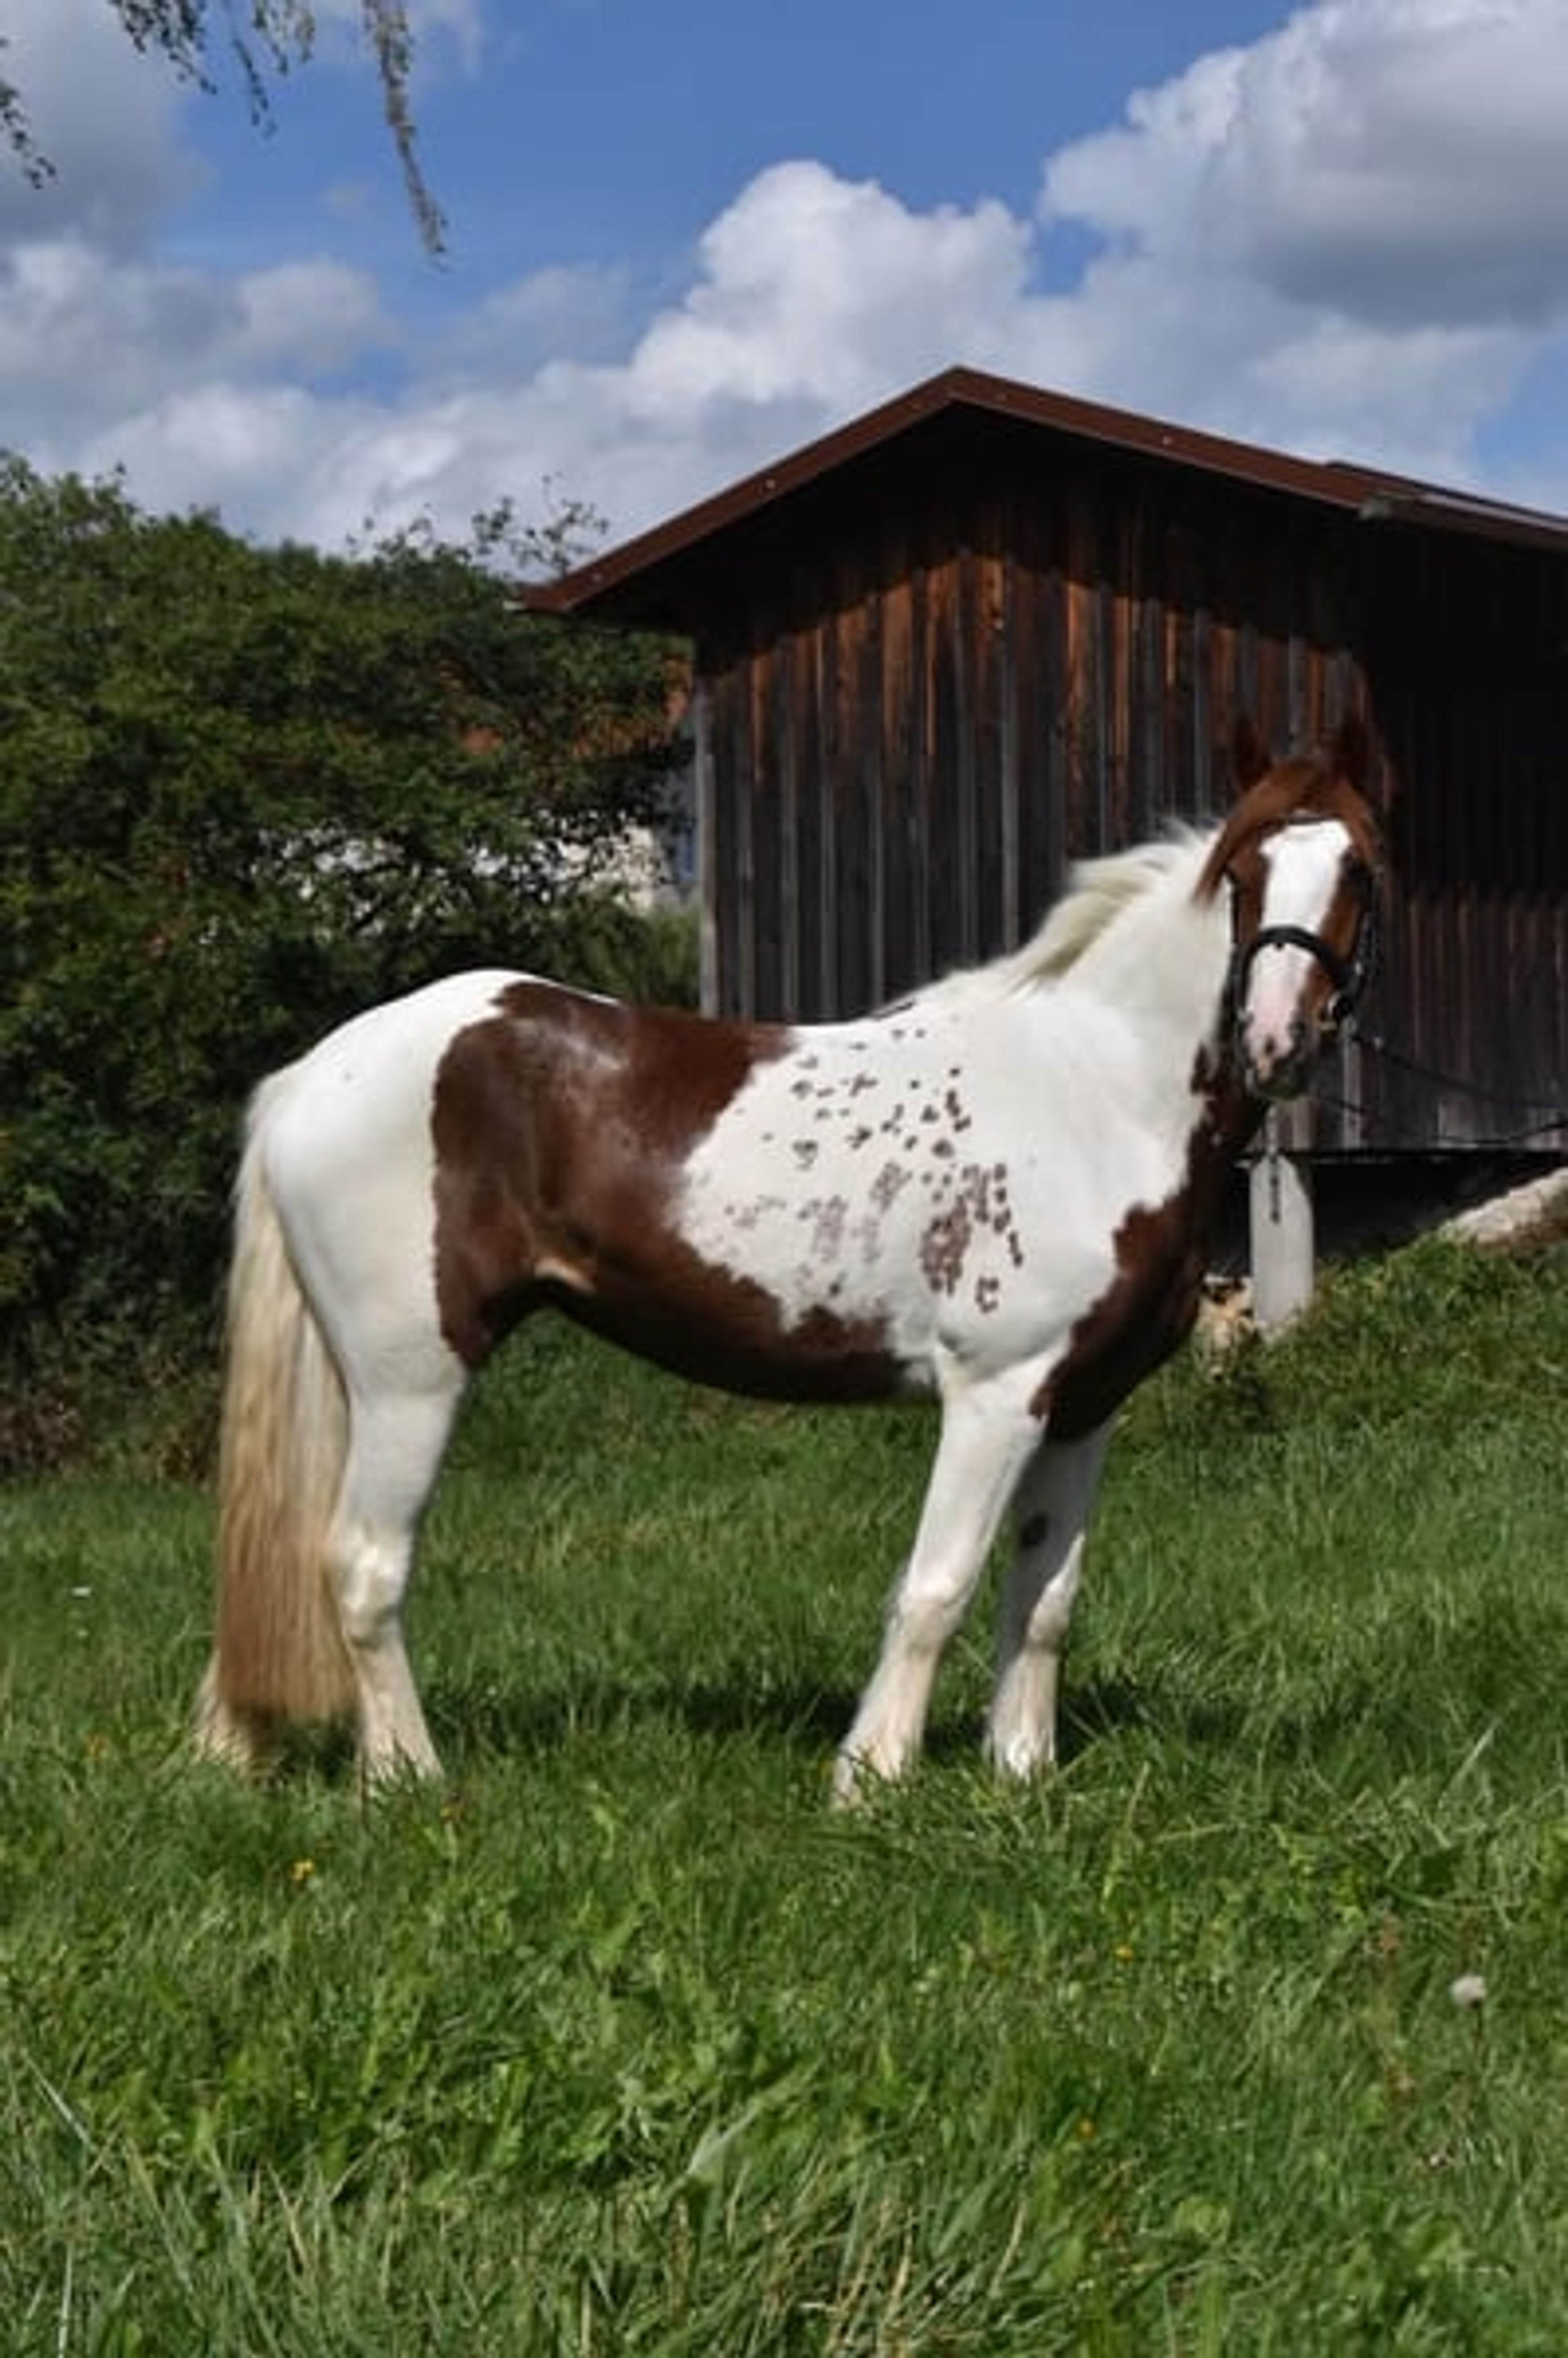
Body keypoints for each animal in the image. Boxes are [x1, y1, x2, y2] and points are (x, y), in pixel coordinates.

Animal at [195, 715, 1383, 1799]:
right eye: (1241, 871)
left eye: (1359, 868)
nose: (1277, 1042)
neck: (1095, 1088)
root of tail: (309, 1078)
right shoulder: (996, 1389)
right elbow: (937, 1585)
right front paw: (872, 1777)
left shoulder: (1084, 1401)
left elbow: (1044, 1597)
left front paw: (1019, 1775)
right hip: (411, 1377)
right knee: (362, 1564)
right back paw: (410, 1780)